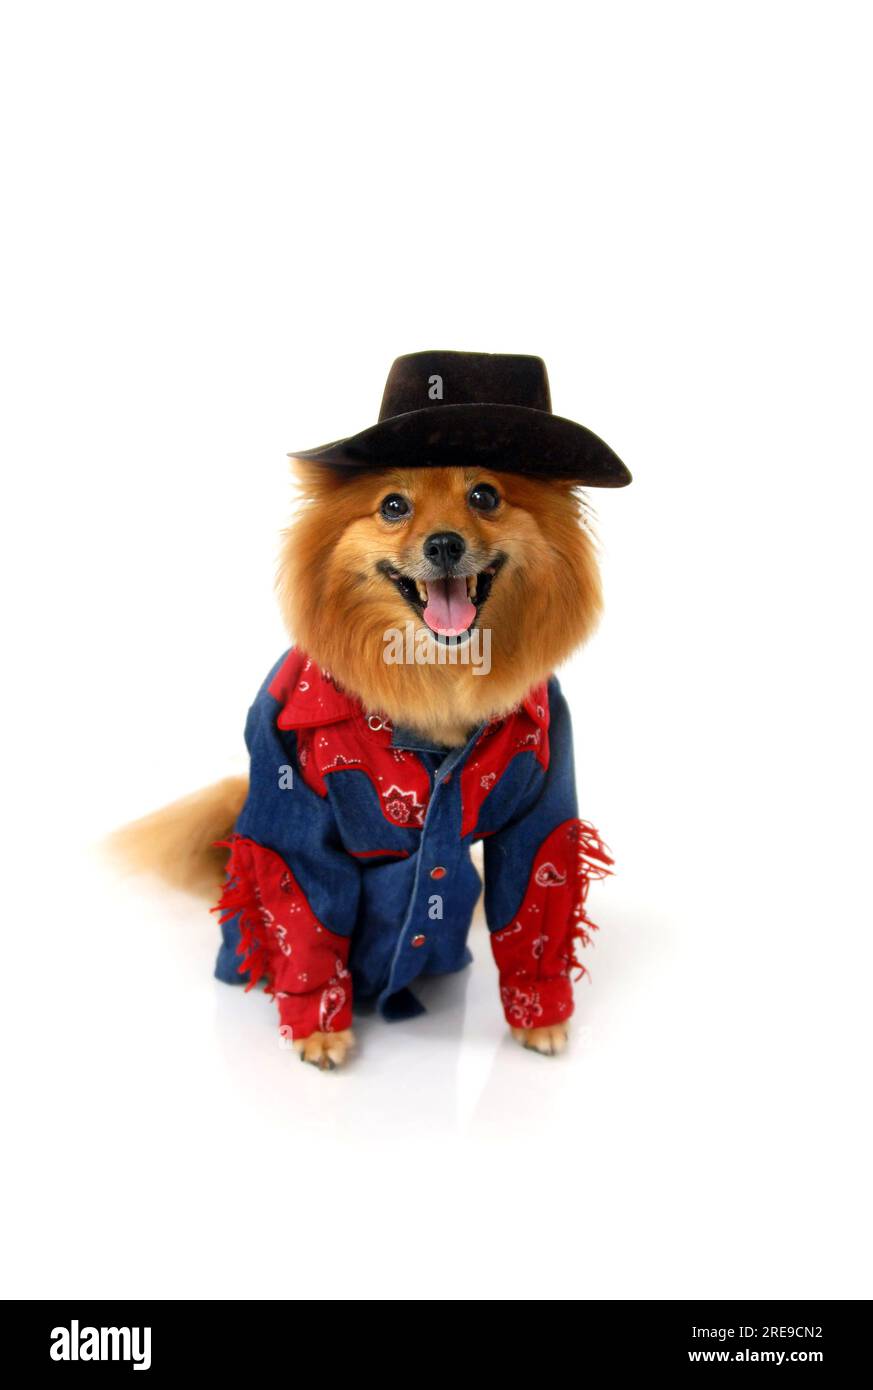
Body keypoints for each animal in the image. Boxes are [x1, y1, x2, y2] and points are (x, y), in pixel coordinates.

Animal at [117, 353, 633, 1067]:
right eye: (393, 506)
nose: (443, 543)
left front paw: (539, 1014)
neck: (437, 681)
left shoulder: (544, 801)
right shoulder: (294, 817)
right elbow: (305, 914)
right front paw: (320, 1026)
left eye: (485, 496)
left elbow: (534, 895)